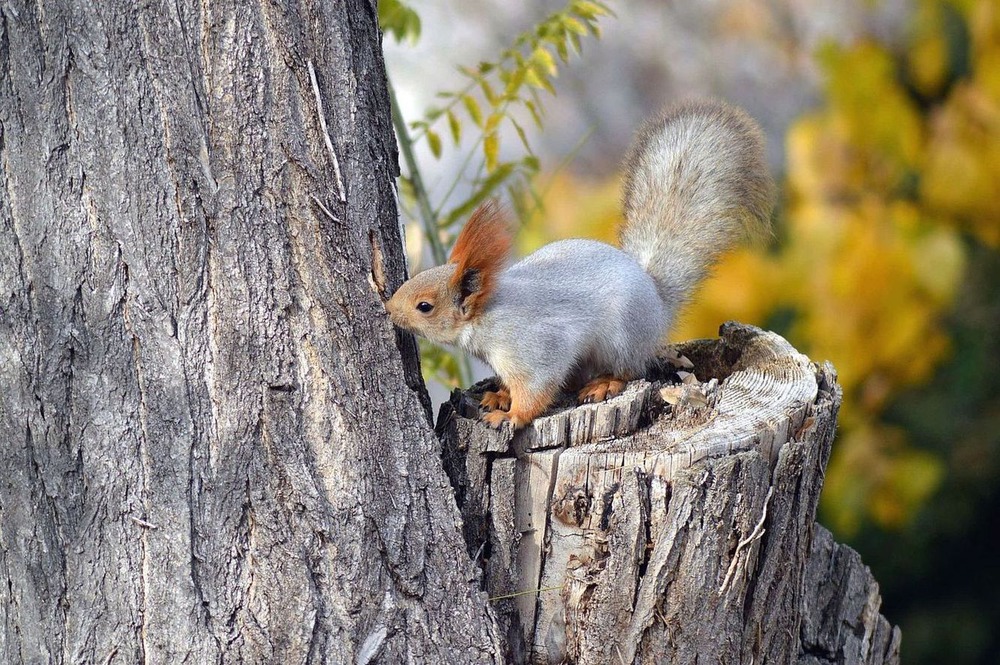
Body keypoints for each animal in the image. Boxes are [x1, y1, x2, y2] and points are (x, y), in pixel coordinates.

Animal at [382, 99, 772, 430]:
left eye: (424, 306)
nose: (388, 310)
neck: (487, 314)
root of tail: (656, 301)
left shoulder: (537, 346)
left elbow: (538, 386)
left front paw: (512, 416)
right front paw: (500, 396)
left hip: (622, 338)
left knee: (630, 370)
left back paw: (604, 384)